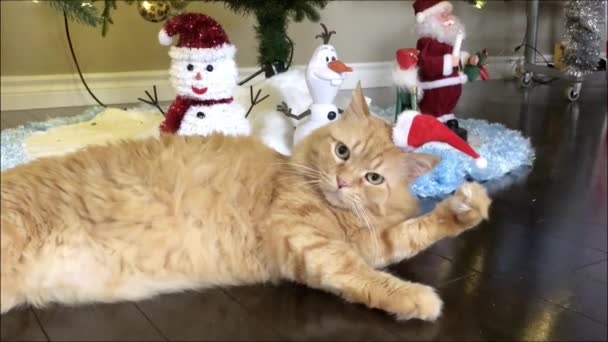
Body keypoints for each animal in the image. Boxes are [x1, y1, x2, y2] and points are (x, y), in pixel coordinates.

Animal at [0, 85, 492, 320]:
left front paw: (466, 206)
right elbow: (366, 277)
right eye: (342, 151)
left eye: (372, 178)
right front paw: (416, 299)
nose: (342, 180)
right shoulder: (312, 243)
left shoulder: (368, 241)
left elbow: (411, 234)